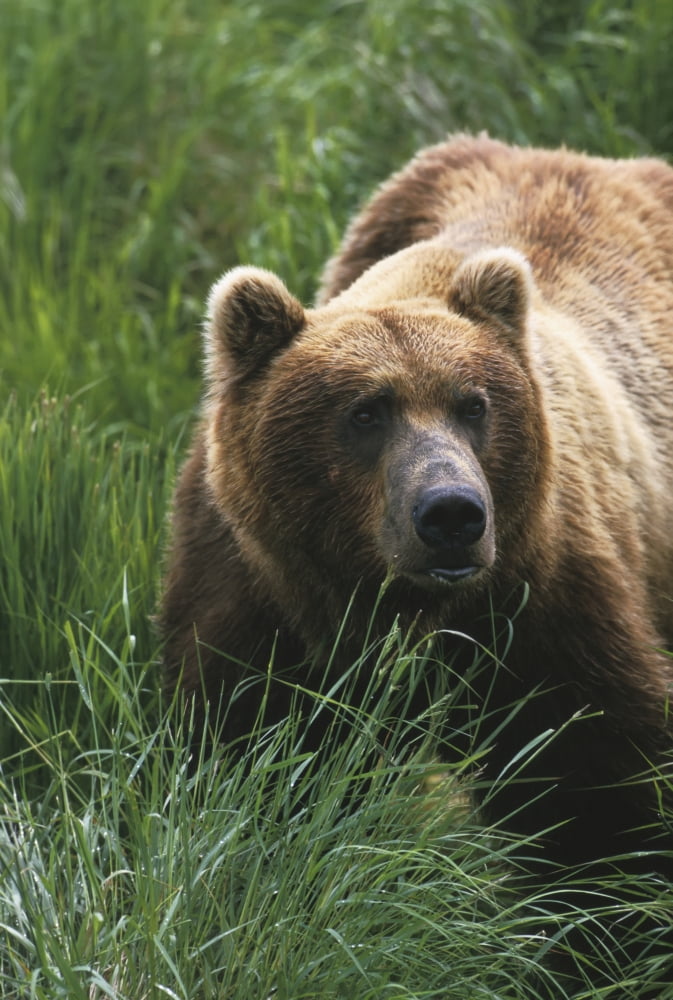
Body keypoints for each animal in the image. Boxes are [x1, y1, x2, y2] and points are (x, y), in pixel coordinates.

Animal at [160, 133, 673, 876]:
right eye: (366, 412)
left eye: (473, 406)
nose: (451, 514)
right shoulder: (256, 585)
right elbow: (256, 748)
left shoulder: (545, 597)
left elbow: (590, 789)